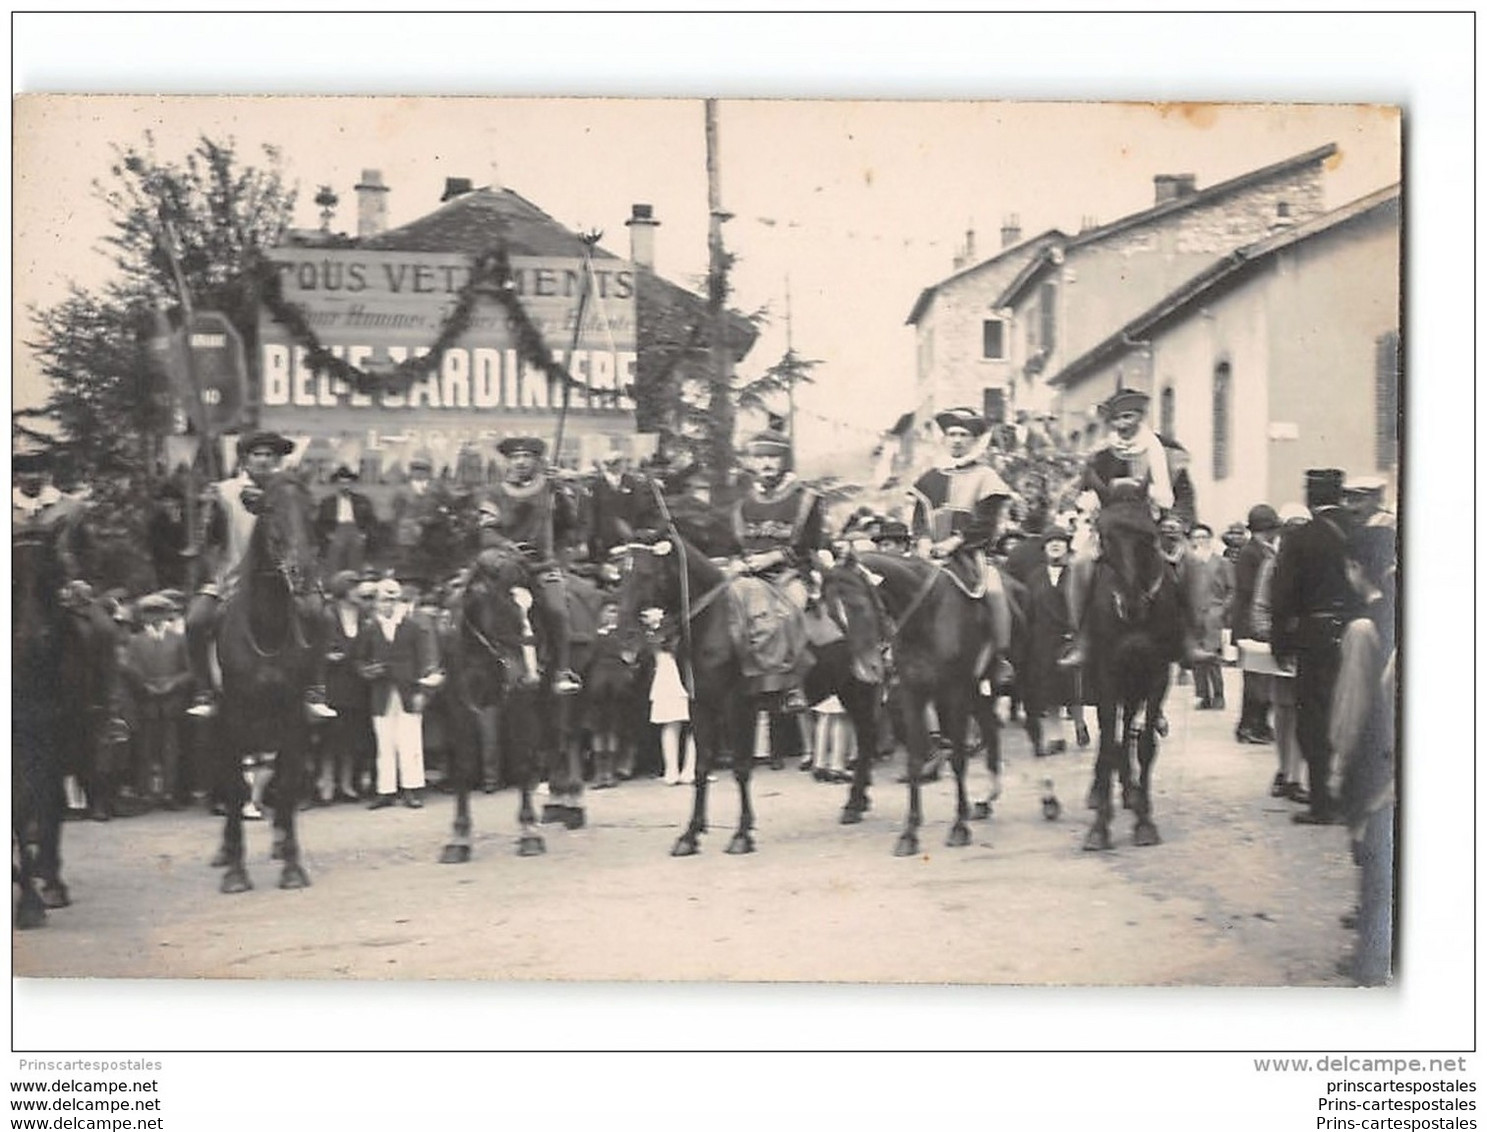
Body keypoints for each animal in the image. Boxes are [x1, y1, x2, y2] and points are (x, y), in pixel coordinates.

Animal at [206, 470, 319, 892]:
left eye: (310, 509)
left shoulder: (292, 717)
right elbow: (235, 788)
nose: (302, 571)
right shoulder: (232, 720)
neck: (266, 630)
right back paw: (226, 852)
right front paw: (236, 872)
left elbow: (285, 785)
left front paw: (292, 867)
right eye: (269, 509)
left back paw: (281, 841)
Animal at [434, 547, 553, 856]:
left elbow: (523, 761)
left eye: (532, 607)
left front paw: (529, 832)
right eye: (503, 606)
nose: (529, 676)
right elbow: (463, 764)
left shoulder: (518, 701)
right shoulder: (459, 704)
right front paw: (459, 836)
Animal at [618, 535, 880, 850]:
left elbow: (741, 767)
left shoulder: (737, 706)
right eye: (622, 575)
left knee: (866, 737)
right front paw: (690, 835)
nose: (625, 637)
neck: (714, 622)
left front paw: (742, 834)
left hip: (858, 687)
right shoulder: (700, 706)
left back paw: (854, 803)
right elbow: (701, 767)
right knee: (865, 737)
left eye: (646, 575)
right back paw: (858, 802)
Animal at [820, 553, 1005, 856]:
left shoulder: (954, 693)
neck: (926, 617)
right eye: (834, 615)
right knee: (991, 728)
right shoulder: (911, 693)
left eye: (859, 605)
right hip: (973, 692)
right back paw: (987, 800)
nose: (867, 670)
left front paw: (959, 827)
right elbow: (914, 758)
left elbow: (957, 759)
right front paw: (909, 833)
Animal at [1076, 508, 1177, 850]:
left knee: (1128, 727)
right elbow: (1108, 743)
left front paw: (1144, 822)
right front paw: (1098, 829)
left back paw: (1129, 789)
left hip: (1135, 686)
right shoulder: (1107, 675)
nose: (1131, 604)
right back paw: (1100, 792)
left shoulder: (1157, 674)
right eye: (1105, 538)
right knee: (1111, 734)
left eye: (1148, 537)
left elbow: (1144, 744)